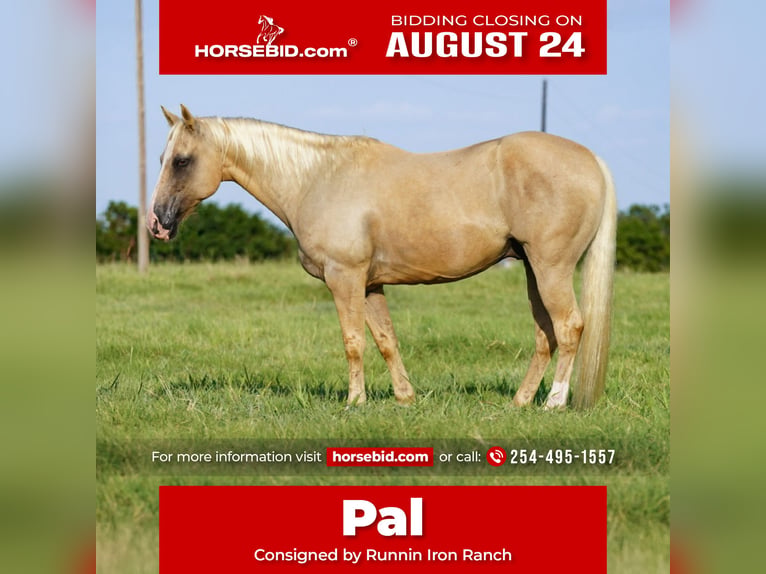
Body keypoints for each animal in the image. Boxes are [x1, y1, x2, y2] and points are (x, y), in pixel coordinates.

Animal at [148, 105, 616, 409]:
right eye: (162, 157)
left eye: (182, 160)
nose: (157, 223)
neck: (317, 179)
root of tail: (591, 159)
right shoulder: (371, 284)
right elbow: (386, 341)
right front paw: (405, 398)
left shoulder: (346, 278)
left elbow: (353, 341)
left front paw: (355, 401)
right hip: (533, 271)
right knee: (546, 335)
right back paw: (520, 401)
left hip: (551, 268)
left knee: (569, 328)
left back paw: (553, 403)